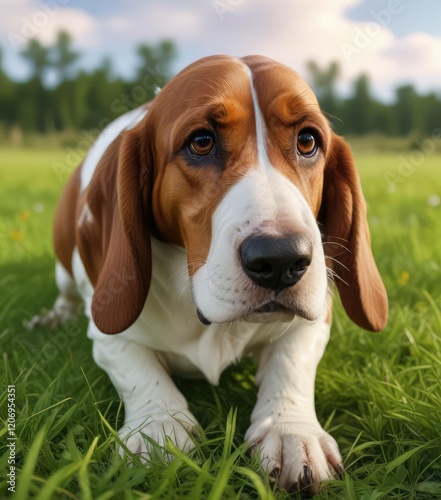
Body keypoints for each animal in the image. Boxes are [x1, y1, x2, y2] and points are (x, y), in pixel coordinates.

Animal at [31, 55, 386, 492]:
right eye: (201, 142)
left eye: (308, 141)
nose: (282, 260)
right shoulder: (107, 330)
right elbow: (138, 369)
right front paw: (158, 428)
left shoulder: (314, 318)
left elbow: (292, 362)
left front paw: (290, 431)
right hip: (67, 268)